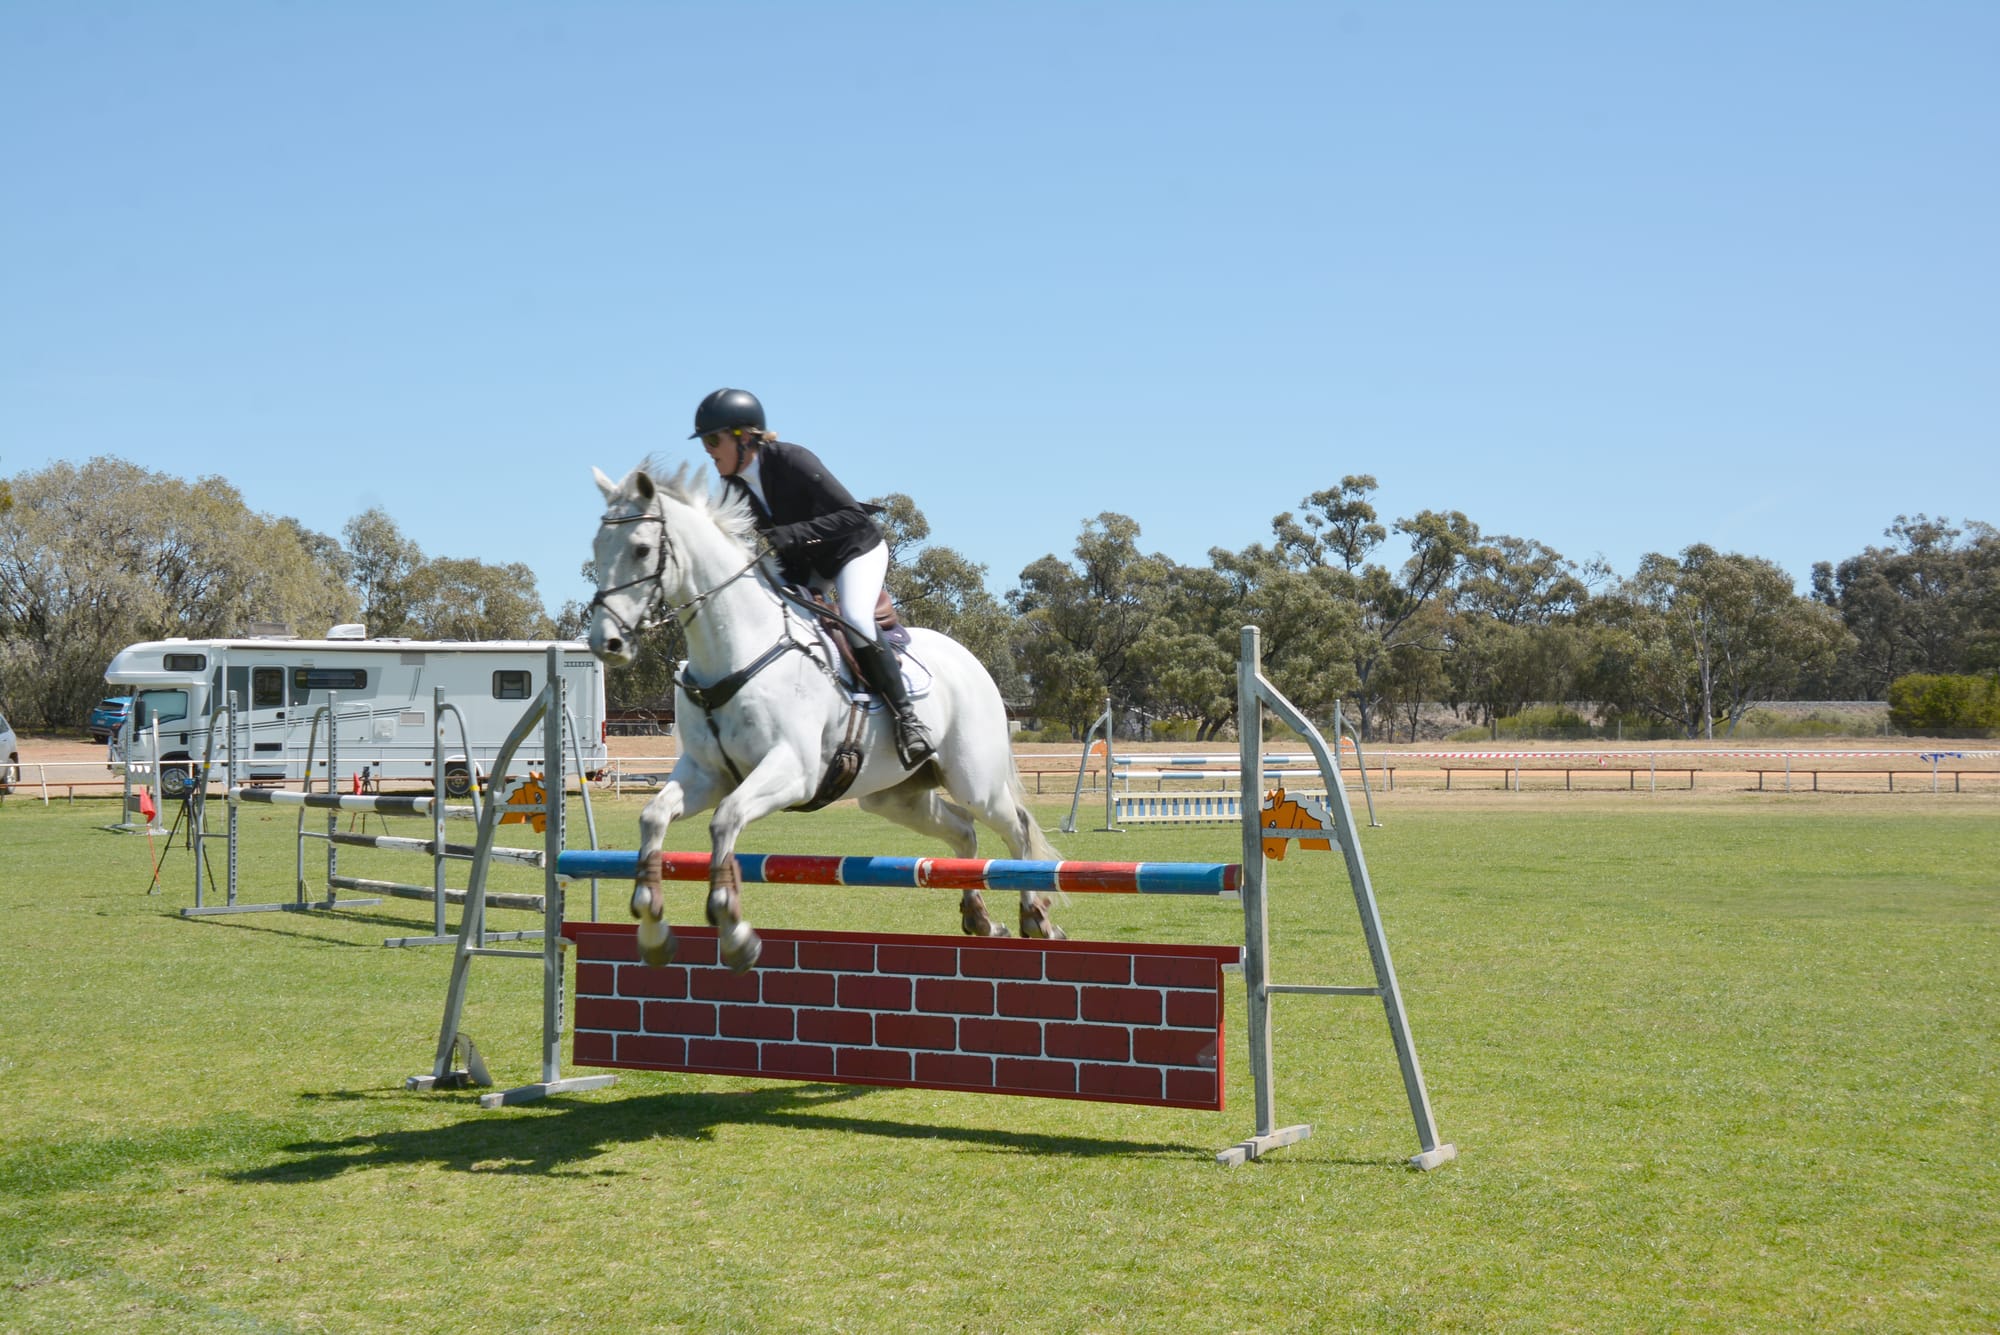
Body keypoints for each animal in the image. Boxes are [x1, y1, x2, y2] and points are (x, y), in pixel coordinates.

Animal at [586, 459, 1066, 972]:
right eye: (596, 547)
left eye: (641, 549)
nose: (606, 643)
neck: (737, 647)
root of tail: (971, 660)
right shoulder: (706, 774)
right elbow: (654, 817)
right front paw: (653, 928)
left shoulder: (792, 772)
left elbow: (725, 819)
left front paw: (734, 931)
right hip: (894, 795)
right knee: (963, 832)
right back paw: (980, 917)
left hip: (975, 781)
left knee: (1015, 827)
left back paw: (1036, 916)